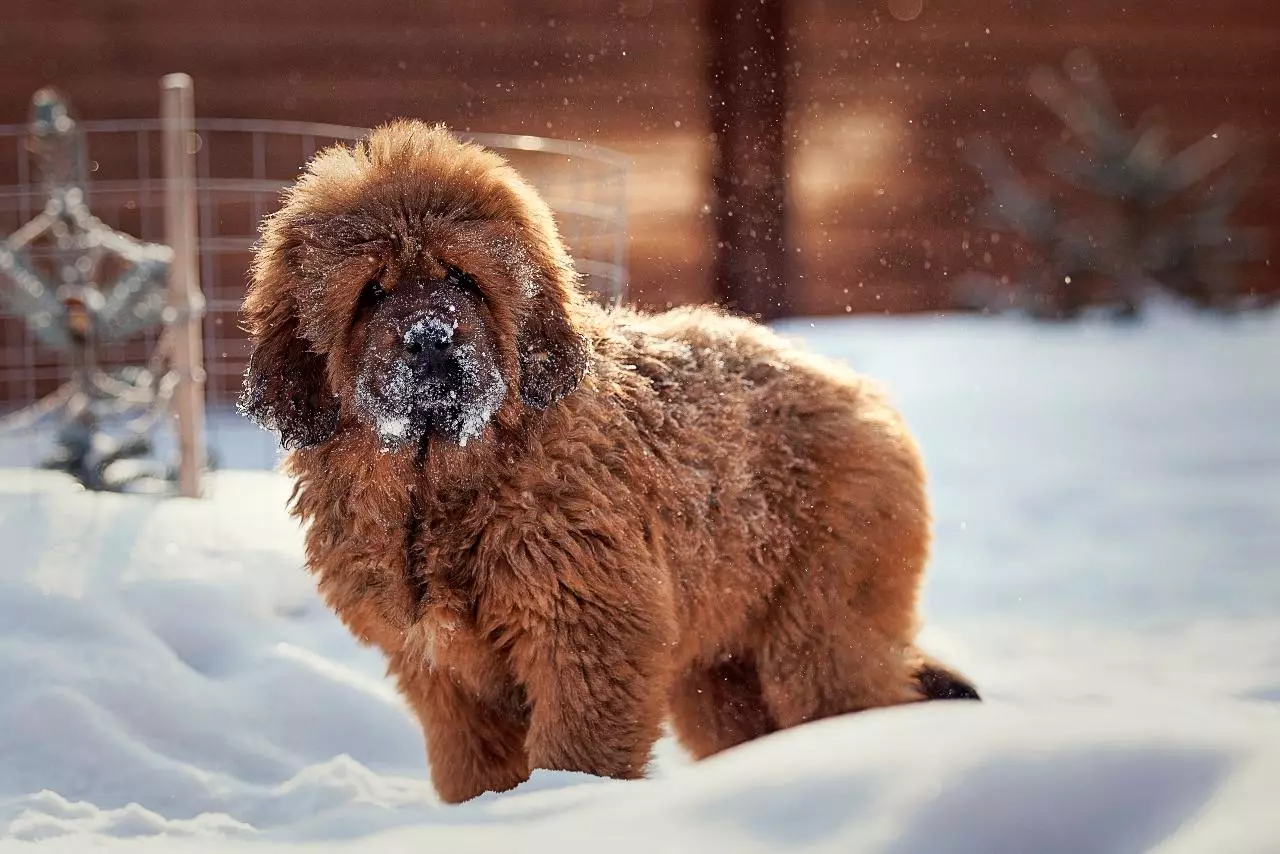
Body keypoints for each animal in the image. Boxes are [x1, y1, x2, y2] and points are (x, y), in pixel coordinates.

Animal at [240, 121, 977, 809]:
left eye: (461, 279)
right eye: (371, 292)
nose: (430, 340)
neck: (443, 487)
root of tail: (859, 387)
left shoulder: (586, 634)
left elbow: (577, 751)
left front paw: (565, 805)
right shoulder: (442, 674)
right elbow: (473, 770)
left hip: (820, 631)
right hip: (722, 672)